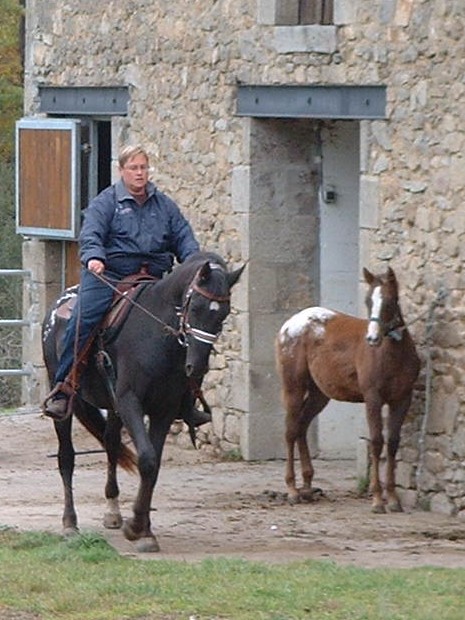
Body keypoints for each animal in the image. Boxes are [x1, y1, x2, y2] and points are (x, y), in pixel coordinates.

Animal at [42, 251, 244, 551]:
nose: (196, 367)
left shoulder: (163, 410)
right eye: (195, 306)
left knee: (111, 444)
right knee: (66, 457)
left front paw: (144, 530)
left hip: (113, 408)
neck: (154, 336)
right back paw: (70, 524)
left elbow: (154, 465)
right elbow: (146, 459)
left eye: (224, 313)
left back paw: (112, 511)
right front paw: (137, 526)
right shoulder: (130, 402)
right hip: (69, 403)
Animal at [275, 267, 420, 514]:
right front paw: (377, 500)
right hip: (293, 386)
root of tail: (289, 324)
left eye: (390, 301)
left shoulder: (402, 399)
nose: (372, 338)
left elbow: (392, 443)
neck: (390, 355)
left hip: (319, 394)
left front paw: (393, 499)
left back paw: (308, 485)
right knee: (291, 430)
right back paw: (292, 489)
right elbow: (376, 442)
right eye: (368, 301)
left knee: (302, 426)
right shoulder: (373, 398)